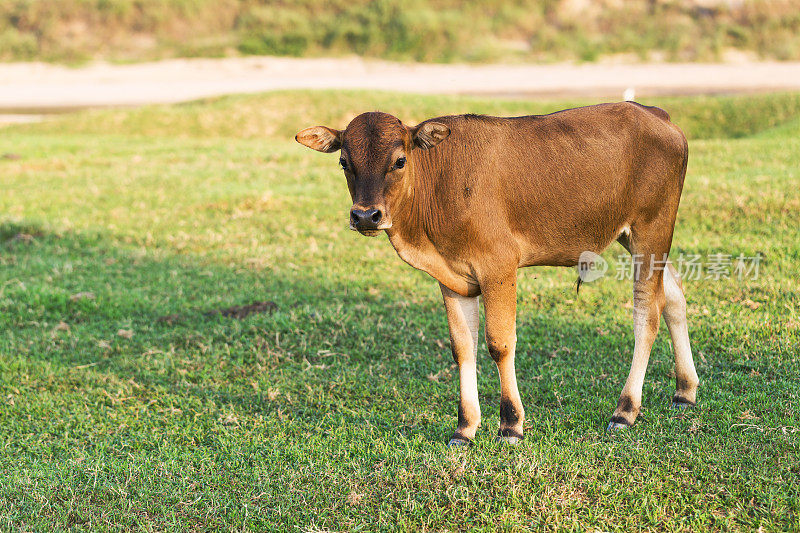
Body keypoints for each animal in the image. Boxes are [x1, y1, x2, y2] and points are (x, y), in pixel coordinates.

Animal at [296, 102, 696, 442]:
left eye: (399, 160)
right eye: (344, 162)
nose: (366, 216)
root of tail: (654, 112)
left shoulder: (499, 266)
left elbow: (499, 343)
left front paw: (511, 424)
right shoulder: (452, 278)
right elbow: (462, 347)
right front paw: (465, 428)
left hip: (651, 229)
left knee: (647, 311)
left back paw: (625, 410)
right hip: (636, 237)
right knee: (674, 294)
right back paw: (685, 390)